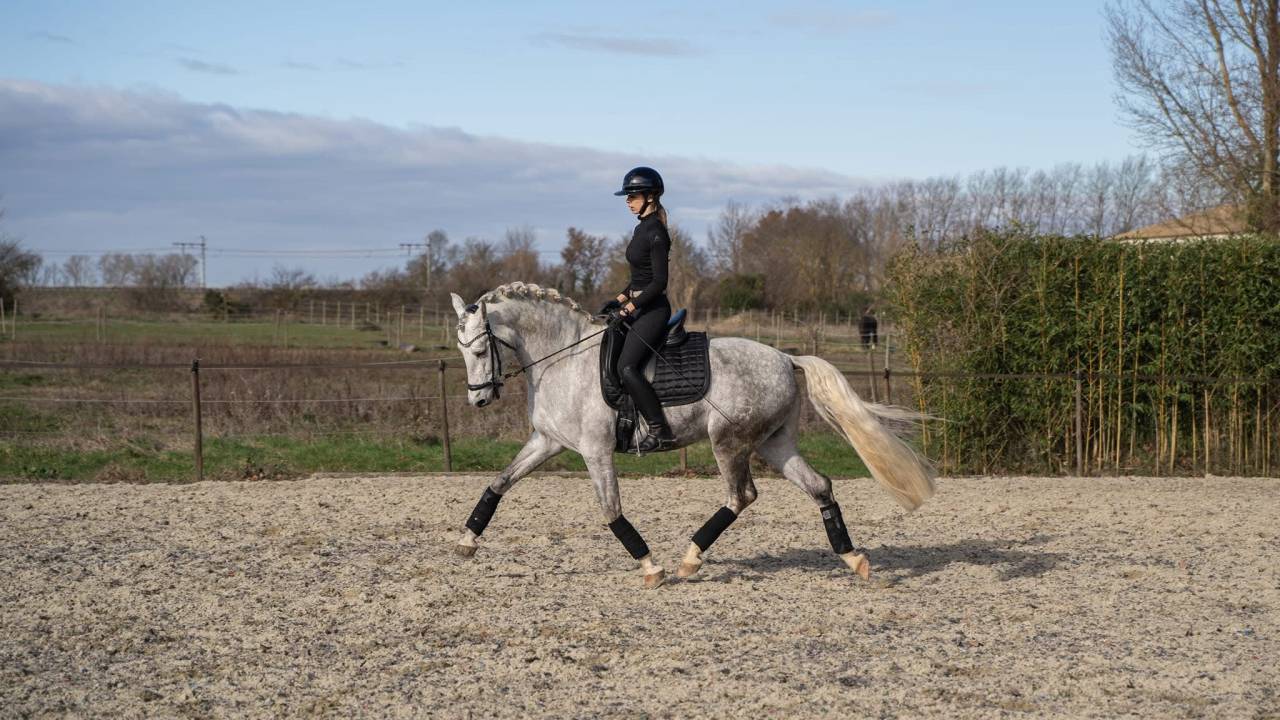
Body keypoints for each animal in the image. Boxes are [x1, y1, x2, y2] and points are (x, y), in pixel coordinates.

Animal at [450, 282, 935, 587]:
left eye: (480, 349)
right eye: (461, 350)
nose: (478, 400)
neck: (562, 359)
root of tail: (785, 357)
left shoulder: (595, 452)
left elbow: (611, 512)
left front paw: (651, 568)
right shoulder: (547, 442)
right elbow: (498, 484)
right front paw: (466, 543)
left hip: (729, 442)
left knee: (741, 496)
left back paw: (689, 559)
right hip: (775, 442)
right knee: (819, 486)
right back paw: (854, 559)